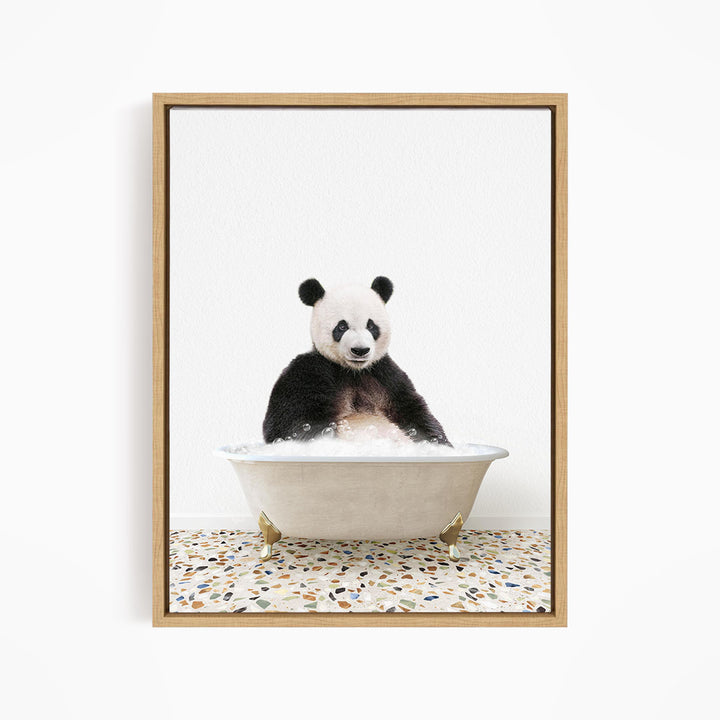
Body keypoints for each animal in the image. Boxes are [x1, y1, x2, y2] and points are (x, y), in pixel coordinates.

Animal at [262, 276, 450, 445]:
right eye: (342, 326)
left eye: (371, 326)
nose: (360, 350)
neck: (353, 372)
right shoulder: (310, 372)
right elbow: (292, 422)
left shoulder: (386, 376)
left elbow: (414, 412)